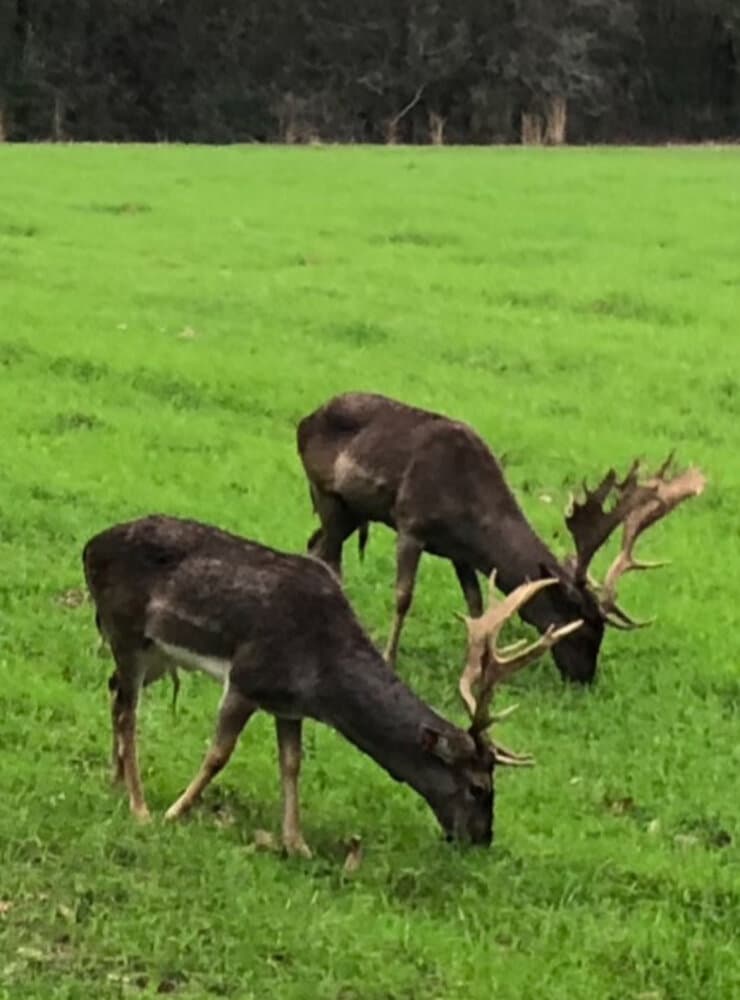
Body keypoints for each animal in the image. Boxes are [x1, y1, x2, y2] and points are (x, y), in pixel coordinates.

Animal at [82, 513, 581, 853]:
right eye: (478, 787)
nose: (481, 838)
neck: (321, 677)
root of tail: (89, 548)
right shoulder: (248, 677)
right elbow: (218, 754)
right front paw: (176, 812)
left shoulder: (287, 705)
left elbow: (292, 764)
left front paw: (296, 843)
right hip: (125, 628)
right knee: (128, 712)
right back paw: (140, 806)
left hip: (156, 653)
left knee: (113, 691)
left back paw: (115, 779)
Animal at [296, 392, 707, 683]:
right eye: (582, 628)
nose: (585, 679)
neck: (468, 516)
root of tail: (305, 420)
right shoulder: (412, 524)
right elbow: (403, 597)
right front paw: (389, 658)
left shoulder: (457, 553)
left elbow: (477, 604)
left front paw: (478, 659)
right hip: (326, 493)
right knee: (329, 555)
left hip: (352, 510)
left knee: (315, 544)